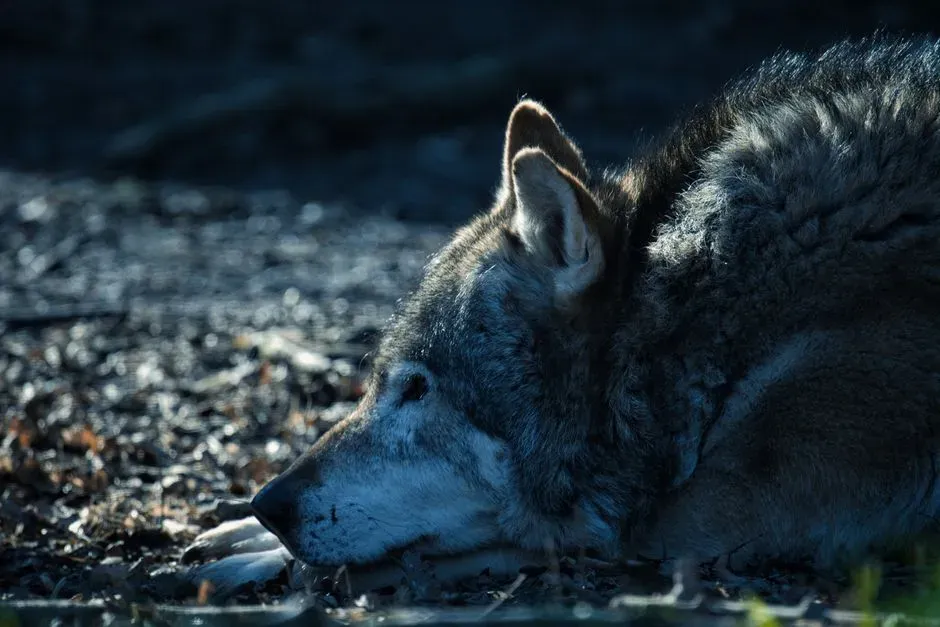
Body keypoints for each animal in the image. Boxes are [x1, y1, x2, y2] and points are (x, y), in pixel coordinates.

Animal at [184, 34, 940, 592]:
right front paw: (239, 531)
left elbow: (528, 534)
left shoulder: (701, 521)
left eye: (417, 388)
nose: (270, 504)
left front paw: (260, 555)